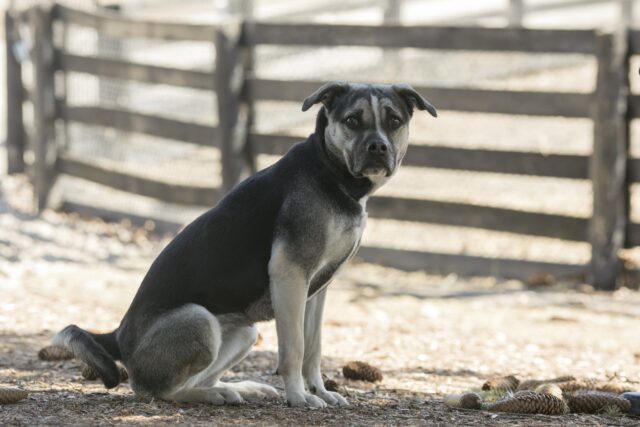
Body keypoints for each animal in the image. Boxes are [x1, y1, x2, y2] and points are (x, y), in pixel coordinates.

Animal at [53, 80, 436, 408]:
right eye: (352, 121)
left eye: (395, 121)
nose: (378, 147)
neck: (331, 171)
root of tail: (115, 335)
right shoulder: (290, 277)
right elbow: (294, 348)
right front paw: (299, 397)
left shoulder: (317, 290)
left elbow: (313, 348)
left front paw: (321, 391)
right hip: (198, 319)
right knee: (161, 390)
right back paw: (214, 395)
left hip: (244, 333)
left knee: (195, 380)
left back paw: (236, 389)